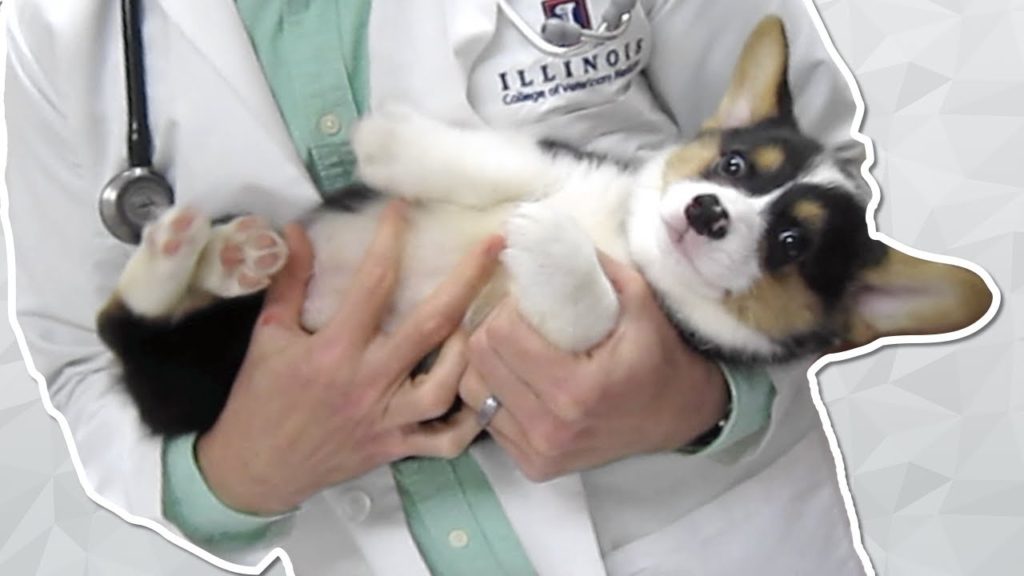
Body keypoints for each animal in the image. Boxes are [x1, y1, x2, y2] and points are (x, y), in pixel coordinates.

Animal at [96, 15, 991, 432]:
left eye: (792, 244)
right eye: (735, 168)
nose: (705, 211)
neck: (621, 239)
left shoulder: (590, 340)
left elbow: (594, 306)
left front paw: (552, 247)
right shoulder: (563, 166)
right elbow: (503, 163)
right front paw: (393, 142)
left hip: (200, 382)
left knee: (129, 325)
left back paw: (190, 252)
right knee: (125, 316)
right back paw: (214, 249)